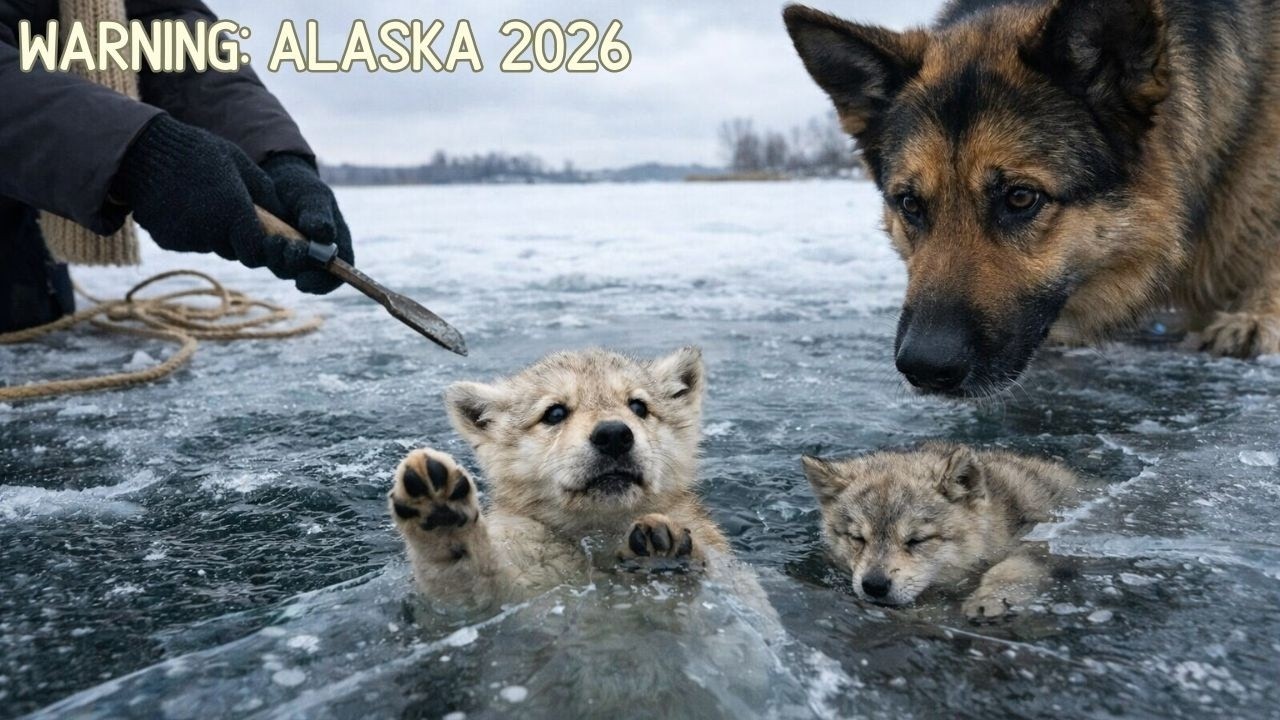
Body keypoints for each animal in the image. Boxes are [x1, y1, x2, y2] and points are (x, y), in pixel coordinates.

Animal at [387, 347, 731, 609]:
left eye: (638, 406)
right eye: (554, 413)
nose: (613, 435)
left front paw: (663, 548)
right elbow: (468, 593)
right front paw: (441, 515)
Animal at [803, 443, 1078, 618]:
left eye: (916, 540)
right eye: (858, 538)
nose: (874, 585)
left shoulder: (1043, 539)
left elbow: (1015, 567)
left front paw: (991, 598)